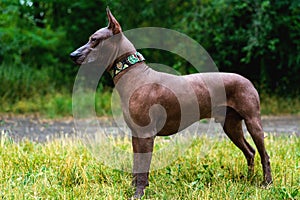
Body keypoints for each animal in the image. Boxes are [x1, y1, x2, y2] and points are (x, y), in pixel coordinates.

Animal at [69, 7, 272, 198]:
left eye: (94, 40)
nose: (72, 55)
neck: (135, 75)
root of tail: (247, 80)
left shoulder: (146, 134)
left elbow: (143, 168)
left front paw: (138, 194)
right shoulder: (136, 134)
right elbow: (137, 165)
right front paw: (135, 189)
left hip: (253, 121)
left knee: (264, 154)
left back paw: (266, 183)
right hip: (231, 125)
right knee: (250, 151)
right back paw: (248, 180)